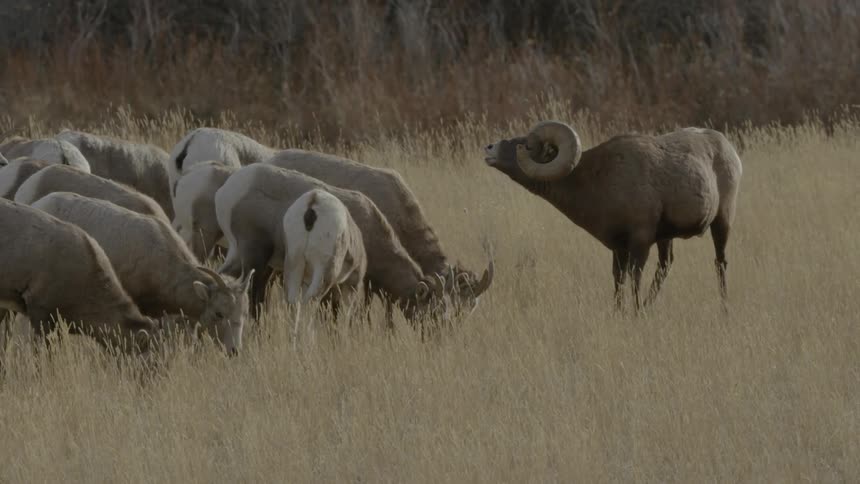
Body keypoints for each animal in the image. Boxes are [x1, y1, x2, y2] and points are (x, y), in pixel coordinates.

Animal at [484, 120, 743, 311]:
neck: (597, 180)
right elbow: (619, 281)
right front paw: (621, 312)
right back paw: (649, 307)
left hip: (722, 223)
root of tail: (727, 147)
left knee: (720, 263)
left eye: (525, 144)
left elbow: (635, 278)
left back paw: (724, 309)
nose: (489, 149)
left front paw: (636, 314)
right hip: (666, 238)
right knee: (665, 266)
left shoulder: (640, 241)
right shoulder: (619, 248)